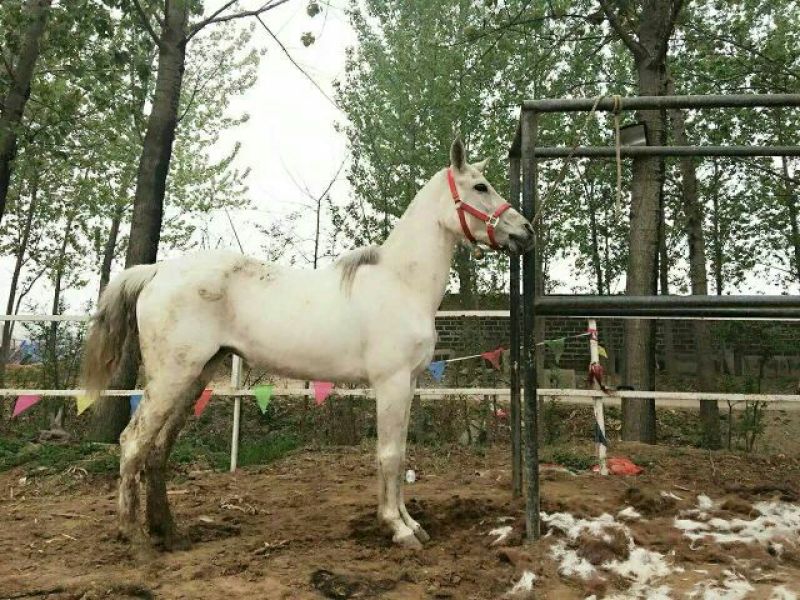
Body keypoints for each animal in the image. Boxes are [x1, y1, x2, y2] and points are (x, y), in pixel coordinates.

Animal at [82, 138, 534, 549]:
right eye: (481, 187)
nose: (525, 232)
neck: (401, 283)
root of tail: (157, 272)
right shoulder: (391, 383)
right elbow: (389, 455)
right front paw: (398, 529)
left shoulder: (407, 384)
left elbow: (401, 453)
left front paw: (410, 523)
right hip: (171, 378)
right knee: (133, 443)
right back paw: (135, 538)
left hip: (197, 376)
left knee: (158, 450)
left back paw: (170, 534)